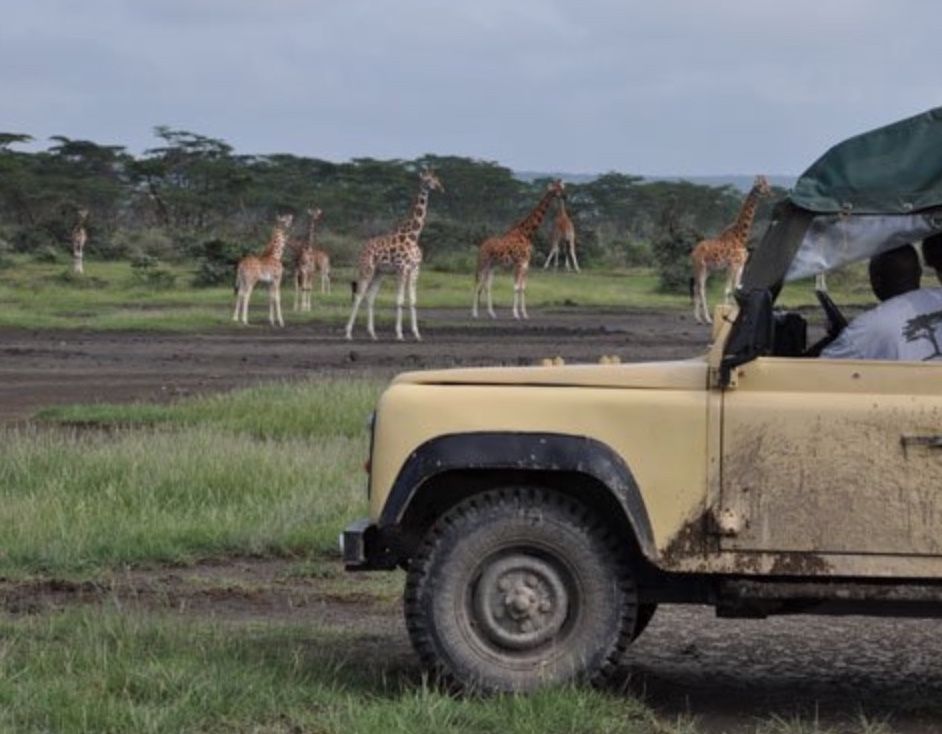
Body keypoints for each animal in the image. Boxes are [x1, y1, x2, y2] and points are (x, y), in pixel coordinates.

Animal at [346, 169, 446, 342]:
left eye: (436, 178)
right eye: (427, 179)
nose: (440, 188)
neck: (413, 235)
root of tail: (362, 249)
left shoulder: (415, 269)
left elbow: (412, 300)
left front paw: (417, 334)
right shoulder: (402, 268)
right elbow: (399, 300)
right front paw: (399, 334)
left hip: (379, 273)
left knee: (370, 297)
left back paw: (373, 334)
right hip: (367, 268)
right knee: (359, 295)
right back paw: (348, 333)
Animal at [476, 179, 564, 320]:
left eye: (562, 187)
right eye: (557, 189)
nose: (565, 196)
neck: (526, 233)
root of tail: (482, 246)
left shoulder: (525, 264)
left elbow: (522, 287)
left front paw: (524, 314)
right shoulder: (518, 264)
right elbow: (516, 287)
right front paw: (516, 314)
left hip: (491, 266)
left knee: (486, 286)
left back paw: (491, 313)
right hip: (483, 263)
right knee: (478, 284)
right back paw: (475, 313)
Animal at [688, 175, 772, 324]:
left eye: (768, 183)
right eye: (761, 185)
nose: (770, 192)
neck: (741, 236)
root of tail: (693, 251)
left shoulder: (740, 266)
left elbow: (736, 288)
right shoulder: (732, 265)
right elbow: (728, 290)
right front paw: (726, 316)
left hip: (708, 269)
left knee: (696, 287)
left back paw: (698, 318)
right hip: (700, 267)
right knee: (701, 288)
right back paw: (707, 319)